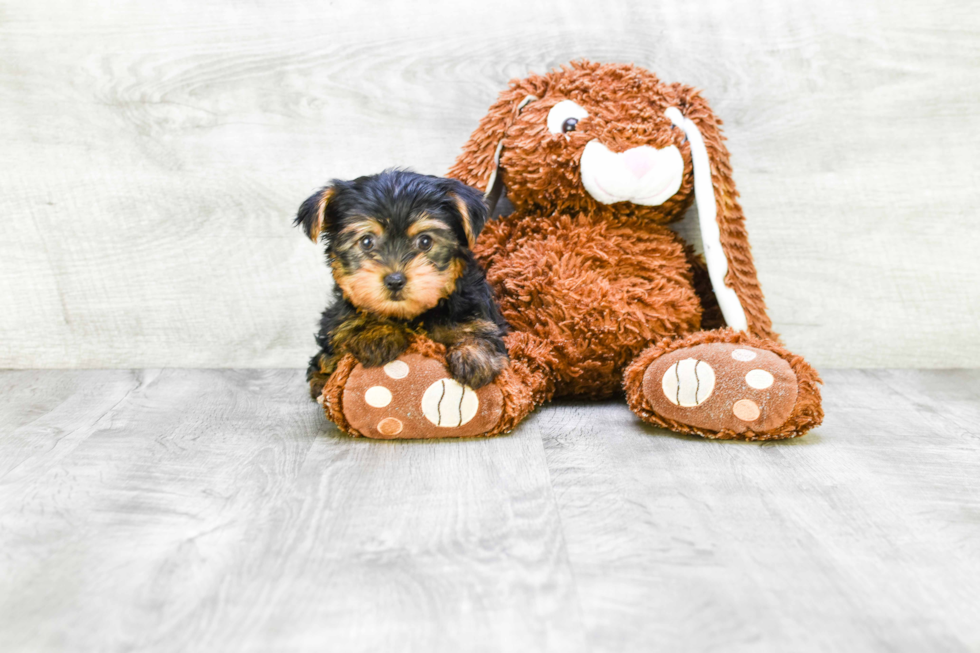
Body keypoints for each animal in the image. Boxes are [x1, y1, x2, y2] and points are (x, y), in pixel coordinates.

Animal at [294, 167, 510, 402]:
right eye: (366, 241)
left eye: (425, 241)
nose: (395, 280)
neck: (409, 315)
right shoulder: (339, 316)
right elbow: (348, 324)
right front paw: (376, 335)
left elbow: (481, 327)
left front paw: (475, 355)